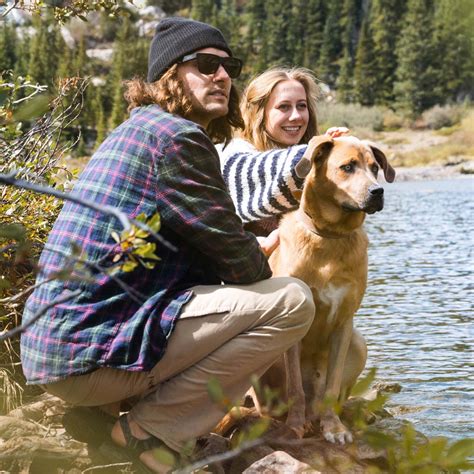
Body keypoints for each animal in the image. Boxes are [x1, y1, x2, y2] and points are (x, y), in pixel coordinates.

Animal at [266, 134, 396, 444]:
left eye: (375, 167)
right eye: (347, 167)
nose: (378, 192)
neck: (330, 238)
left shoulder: (343, 323)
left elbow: (332, 386)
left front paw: (334, 428)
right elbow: (295, 388)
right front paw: (293, 427)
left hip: (358, 344)